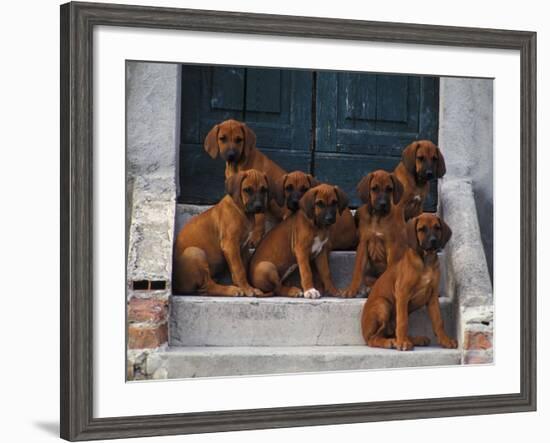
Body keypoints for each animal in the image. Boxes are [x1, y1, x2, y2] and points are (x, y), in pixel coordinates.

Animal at [174, 170, 270, 298]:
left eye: (264, 189)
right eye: (247, 190)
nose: (258, 207)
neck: (240, 209)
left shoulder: (243, 248)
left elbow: (243, 268)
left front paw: (248, 287)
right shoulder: (230, 245)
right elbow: (239, 269)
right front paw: (247, 289)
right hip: (195, 252)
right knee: (208, 286)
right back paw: (231, 290)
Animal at [205, 119, 286, 248]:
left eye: (239, 139)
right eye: (222, 138)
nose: (231, 155)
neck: (237, 165)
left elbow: (259, 218)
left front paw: (255, 237)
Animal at [342, 170, 408, 298]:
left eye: (389, 189)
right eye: (374, 188)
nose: (383, 204)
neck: (378, 217)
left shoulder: (392, 246)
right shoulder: (363, 244)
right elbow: (357, 271)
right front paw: (351, 289)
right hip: (368, 275)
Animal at [360, 213, 460, 352]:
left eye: (437, 228)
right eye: (421, 229)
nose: (433, 241)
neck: (426, 261)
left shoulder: (433, 297)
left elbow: (439, 321)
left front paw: (445, 340)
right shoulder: (402, 293)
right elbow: (403, 321)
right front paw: (402, 343)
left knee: (389, 332)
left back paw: (414, 339)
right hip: (383, 304)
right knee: (374, 338)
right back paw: (391, 342)